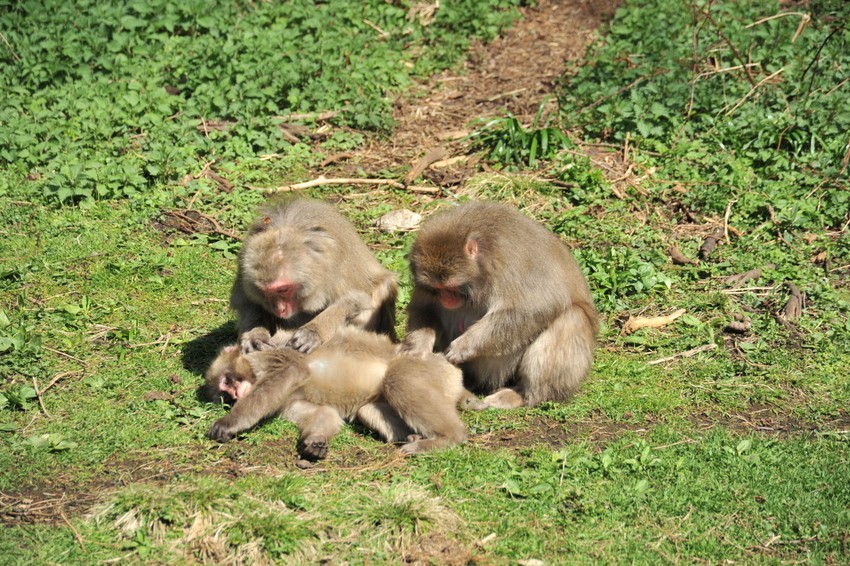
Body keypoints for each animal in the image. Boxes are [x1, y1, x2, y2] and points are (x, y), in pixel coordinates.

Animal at [203, 328, 468, 462]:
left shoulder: (265, 356)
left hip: (424, 368)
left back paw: (450, 437)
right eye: (226, 395)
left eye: (228, 381)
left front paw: (230, 423)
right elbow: (325, 412)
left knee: (398, 381)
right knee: (367, 410)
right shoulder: (287, 402)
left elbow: (292, 370)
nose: (236, 394)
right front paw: (316, 441)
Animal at [232, 196, 398, 356]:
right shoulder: (245, 259)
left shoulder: (335, 263)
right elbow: (247, 302)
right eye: (267, 292)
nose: (279, 310)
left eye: (283, 289)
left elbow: (356, 298)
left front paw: (313, 332)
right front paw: (255, 336)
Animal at [402, 202, 596, 410]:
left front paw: (463, 346)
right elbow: (424, 308)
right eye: (437, 289)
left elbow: (534, 309)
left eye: (452, 287)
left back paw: (523, 395)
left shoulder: (510, 263)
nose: (447, 300)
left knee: (572, 317)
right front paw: (419, 348)